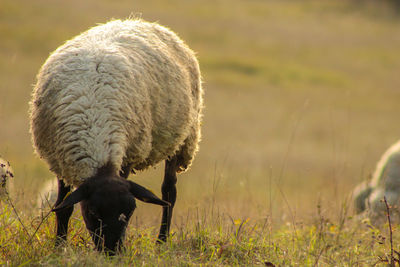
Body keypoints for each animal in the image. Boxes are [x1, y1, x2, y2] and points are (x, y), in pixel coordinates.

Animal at [30, 19, 203, 255]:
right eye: (93, 213)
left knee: (169, 193)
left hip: (182, 140)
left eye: (129, 213)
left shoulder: (128, 154)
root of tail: (139, 21)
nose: (112, 253)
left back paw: (161, 242)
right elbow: (63, 207)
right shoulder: (60, 160)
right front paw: (59, 246)